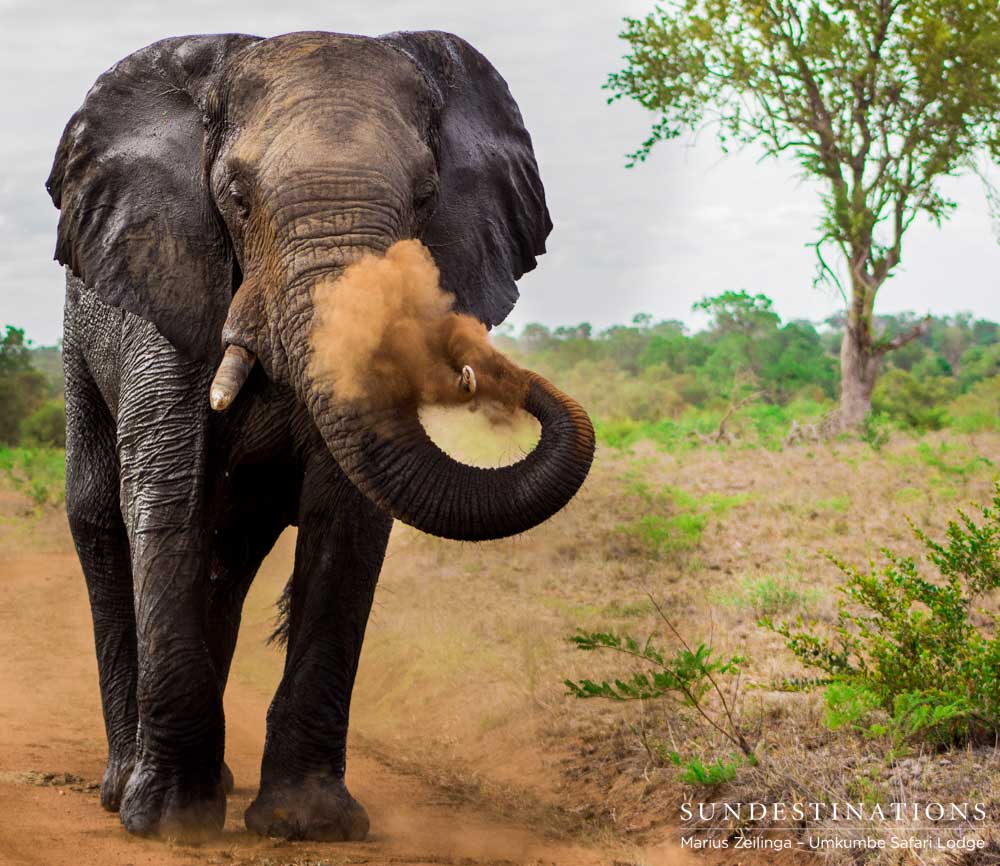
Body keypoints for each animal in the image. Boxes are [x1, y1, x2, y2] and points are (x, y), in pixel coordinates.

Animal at [45, 30, 592, 840]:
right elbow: (166, 493)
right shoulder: (166, 289)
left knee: (230, 556)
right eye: (237, 199)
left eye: (425, 197)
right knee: (100, 516)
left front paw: (306, 822)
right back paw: (122, 789)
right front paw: (171, 823)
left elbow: (345, 521)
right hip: (79, 341)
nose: (493, 372)